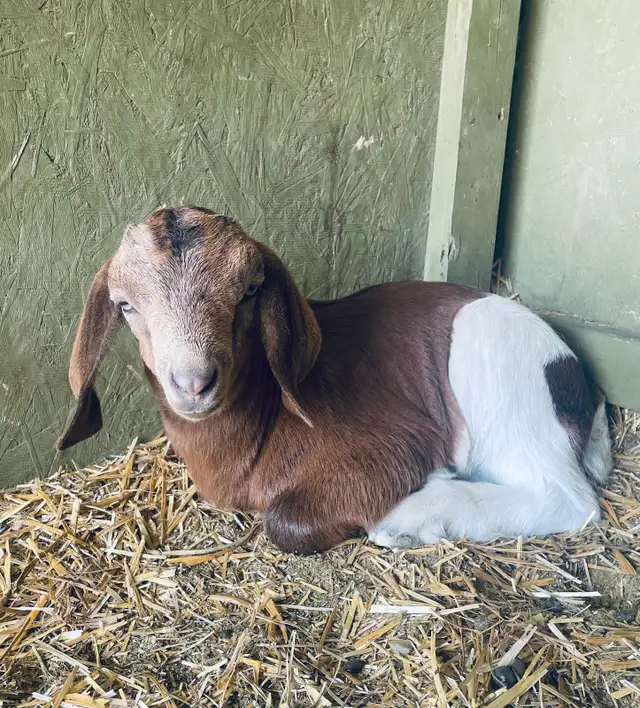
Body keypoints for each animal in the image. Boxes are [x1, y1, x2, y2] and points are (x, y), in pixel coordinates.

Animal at [57, 205, 613, 554]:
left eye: (250, 291)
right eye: (126, 306)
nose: (194, 382)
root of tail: (574, 375)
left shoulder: (391, 445)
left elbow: (284, 522)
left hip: (500, 385)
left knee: (564, 499)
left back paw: (410, 517)